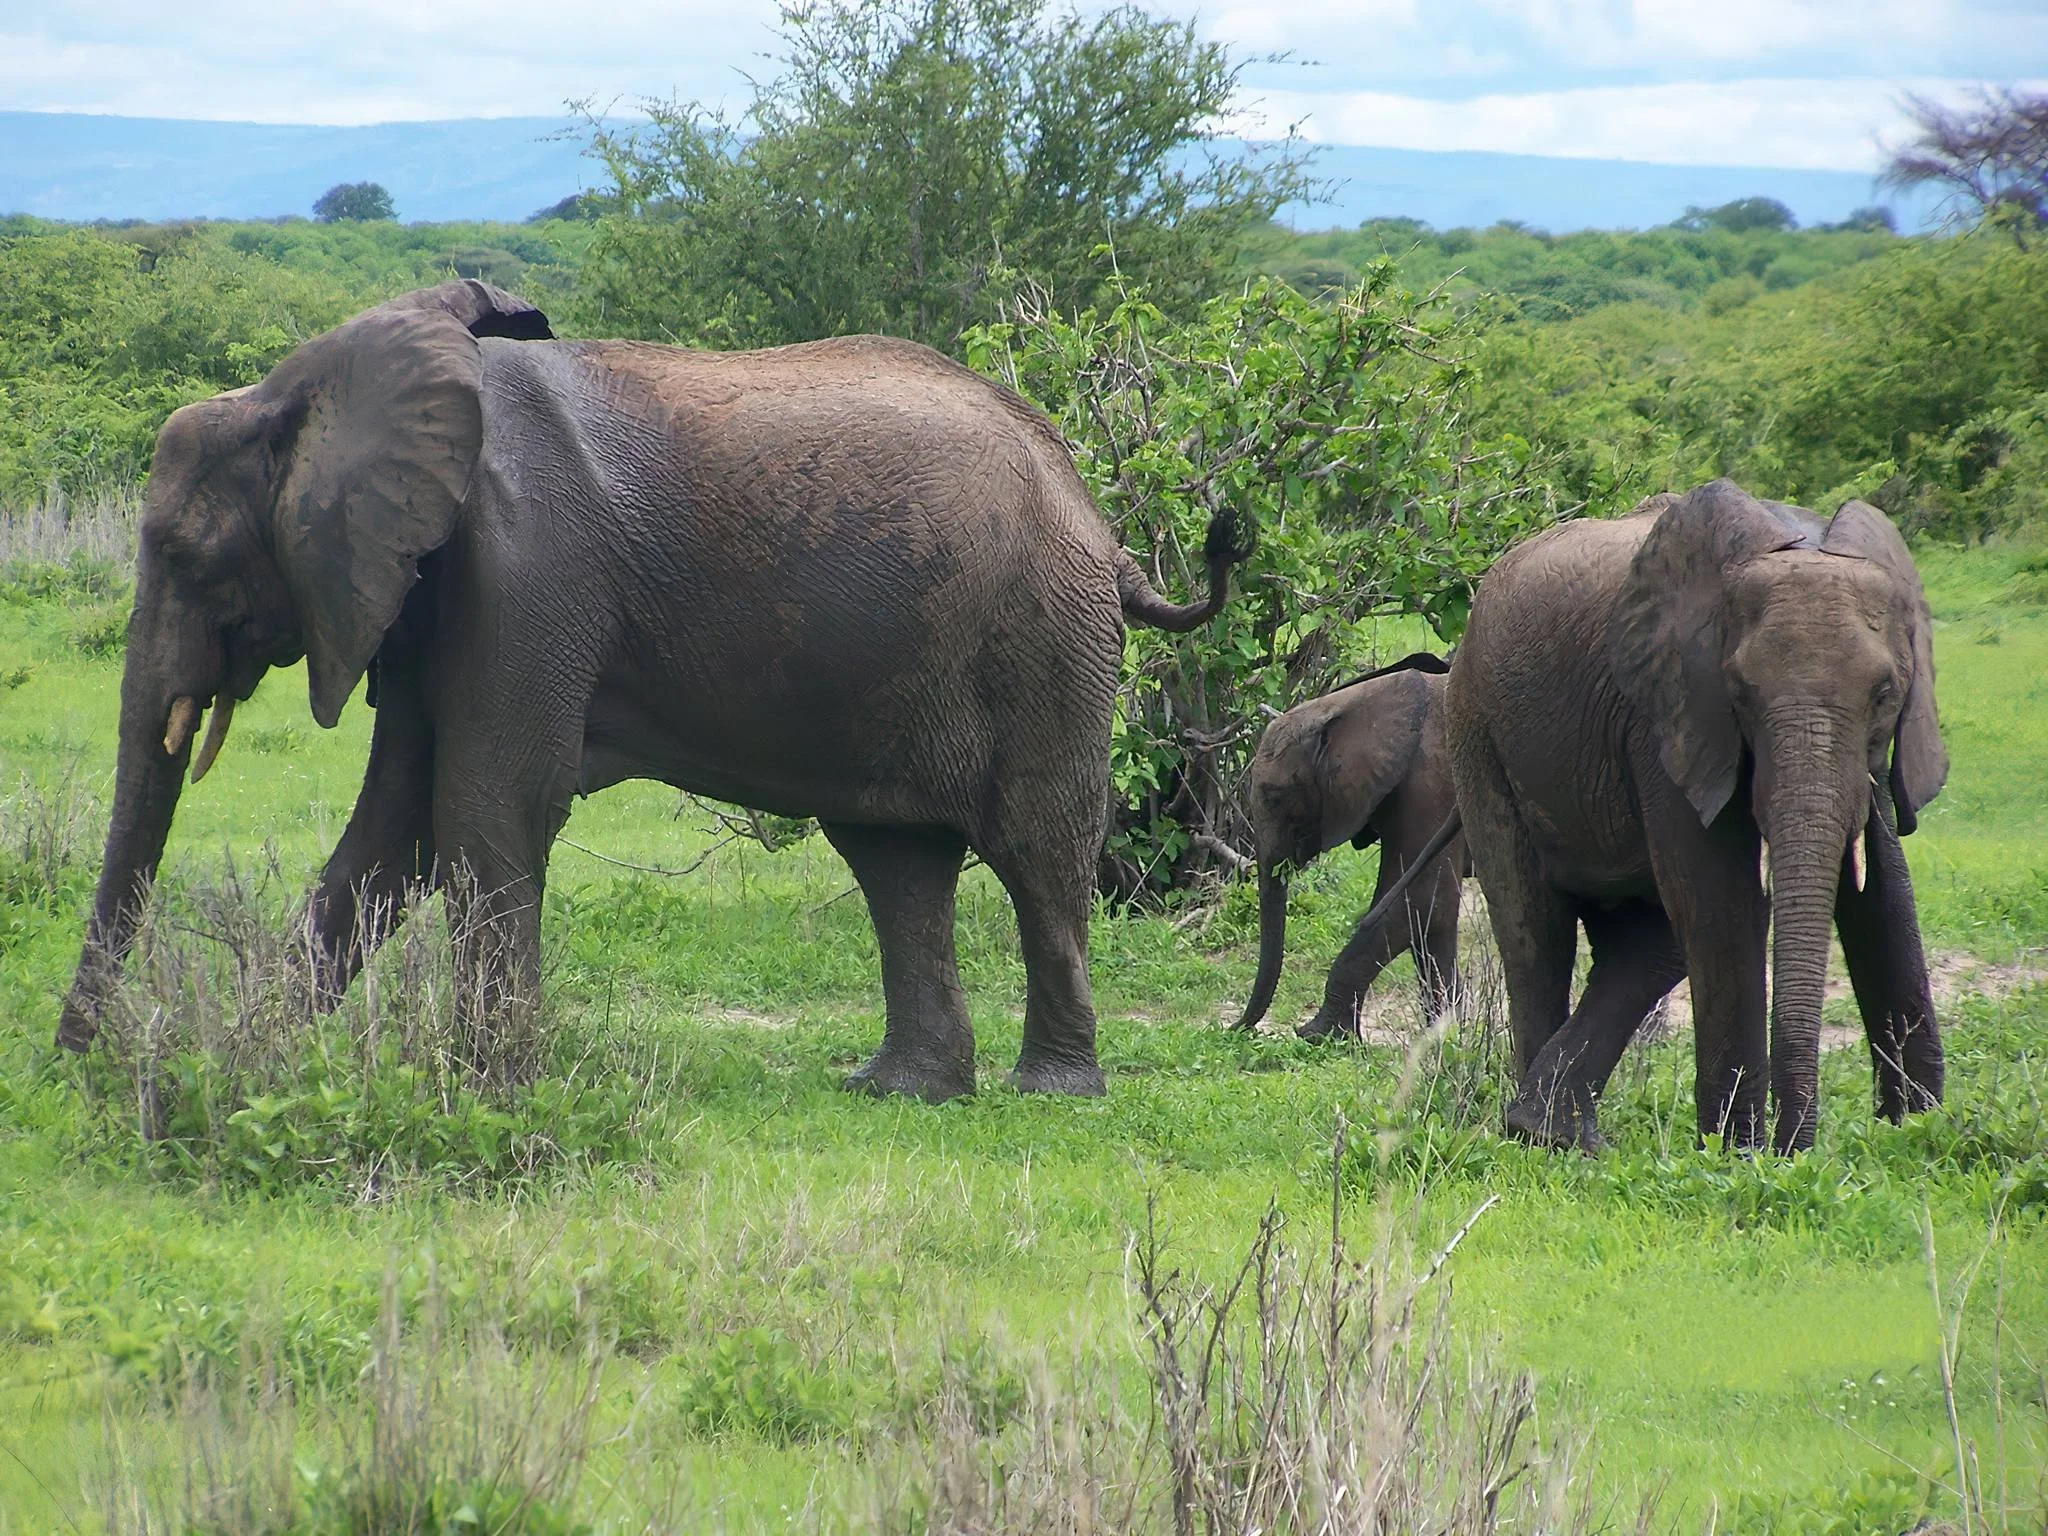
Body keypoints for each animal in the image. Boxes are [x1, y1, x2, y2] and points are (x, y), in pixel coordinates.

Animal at [57, 280, 1253, 1103]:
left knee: (1037, 850)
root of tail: (1104, 527)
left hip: (1040, 641)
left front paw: (488, 1088)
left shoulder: (523, 569)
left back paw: (1049, 1091)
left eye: (184, 552)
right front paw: (254, 1056)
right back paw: (901, 1092)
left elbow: (488, 803)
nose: (78, 1070)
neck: (308, 390)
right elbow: (396, 822)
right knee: (897, 861)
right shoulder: (424, 587)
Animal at [1231, 653, 1469, 1039]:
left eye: (1276, 798)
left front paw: (1317, 1035)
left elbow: (1422, 901)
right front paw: (1447, 1039)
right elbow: (1432, 924)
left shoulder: (1430, 780)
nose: (1234, 1029)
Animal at [1445, 480, 1946, 1154]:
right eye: (1739, 695)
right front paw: (1739, 1155)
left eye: (1886, 695)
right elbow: (1723, 902)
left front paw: (1918, 1130)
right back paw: (1543, 1138)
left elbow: (1885, 897)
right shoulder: (1668, 714)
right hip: (1476, 730)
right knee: (1535, 931)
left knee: (1647, 943)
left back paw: (1554, 1128)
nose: (1795, 1146)